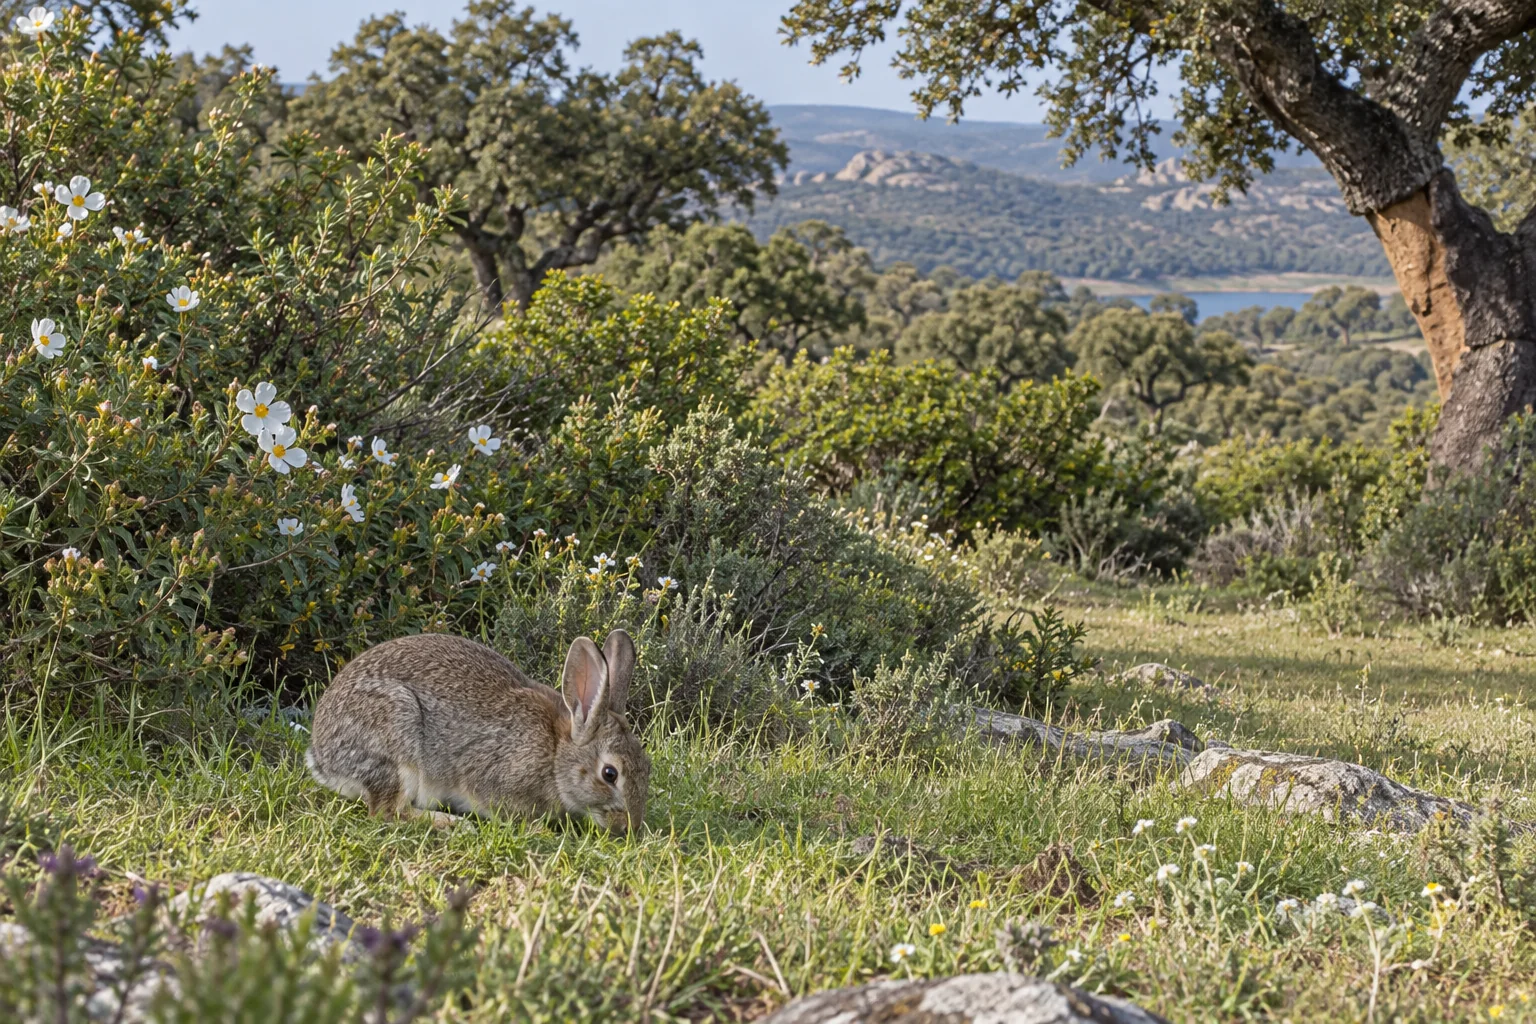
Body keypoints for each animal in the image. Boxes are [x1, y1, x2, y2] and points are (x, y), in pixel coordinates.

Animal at [306, 629, 649, 835]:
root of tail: (322, 758)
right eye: (609, 774)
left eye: (646, 764)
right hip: (396, 736)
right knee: (388, 811)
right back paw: (452, 823)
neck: (555, 753)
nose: (630, 827)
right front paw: (539, 831)